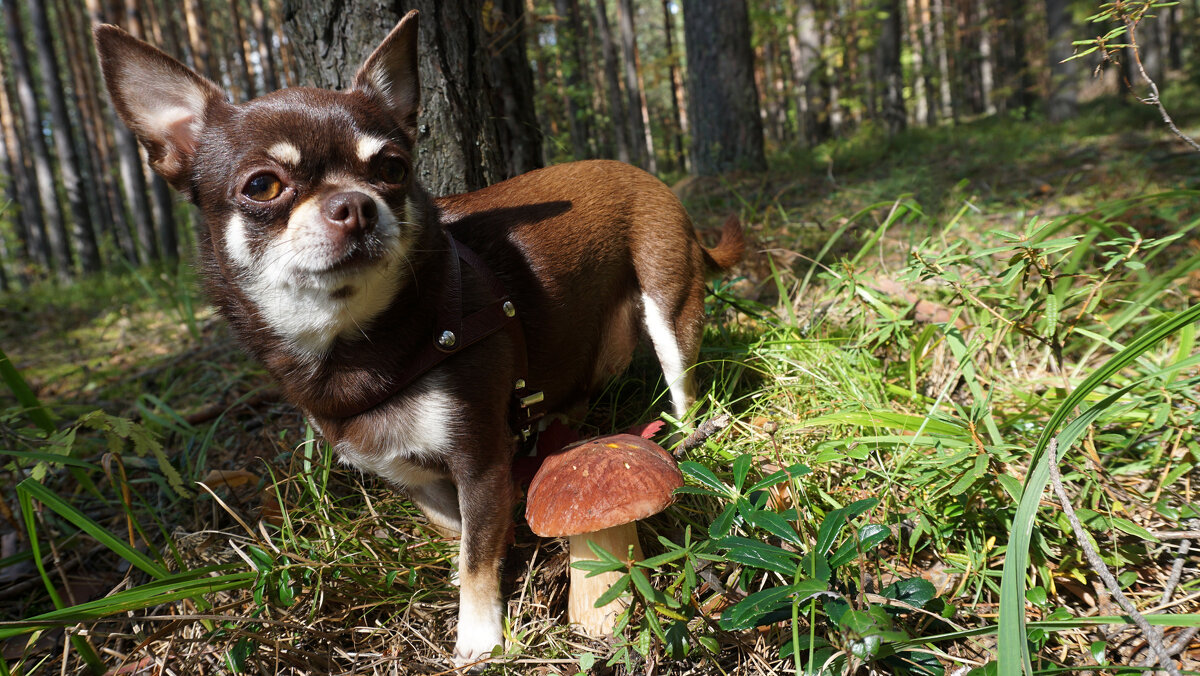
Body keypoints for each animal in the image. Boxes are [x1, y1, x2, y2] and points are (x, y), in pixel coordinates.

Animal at [98, 10, 739, 667]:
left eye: (392, 169)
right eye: (261, 186)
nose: (355, 204)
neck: (355, 346)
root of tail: (645, 174)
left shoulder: (479, 459)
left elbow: (478, 552)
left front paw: (479, 636)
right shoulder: (419, 479)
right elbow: (467, 535)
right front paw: (497, 564)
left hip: (669, 306)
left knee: (682, 384)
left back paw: (688, 433)